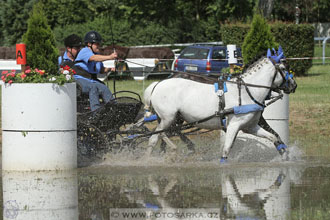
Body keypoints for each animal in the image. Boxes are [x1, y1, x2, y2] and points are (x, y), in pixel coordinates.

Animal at [143, 47, 298, 162]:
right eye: (284, 68)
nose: (294, 85)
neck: (247, 91)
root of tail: (157, 84)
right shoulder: (234, 125)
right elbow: (226, 149)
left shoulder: (250, 126)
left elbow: (274, 137)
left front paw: (285, 155)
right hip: (168, 118)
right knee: (157, 135)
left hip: (173, 118)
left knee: (159, 135)